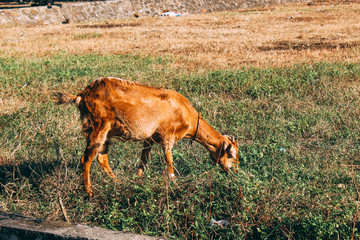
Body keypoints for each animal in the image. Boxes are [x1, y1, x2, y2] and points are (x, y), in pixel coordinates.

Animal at [58, 77, 239, 197]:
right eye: (231, 155)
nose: (235, 172)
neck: (188, 115)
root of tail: (82, 95)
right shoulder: (167, 136)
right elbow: (169, 160)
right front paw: (173, 182)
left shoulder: (150, 139)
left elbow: (144, 159)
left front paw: (138, 178)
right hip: (99, 128)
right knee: (87, 159)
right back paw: (89, 192)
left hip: (104, 133)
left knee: (100, 158)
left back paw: (117, 182)